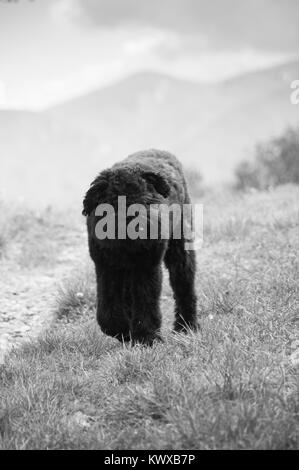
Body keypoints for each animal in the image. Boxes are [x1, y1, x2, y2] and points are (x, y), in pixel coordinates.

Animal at [82, 150, 199, 346]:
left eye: (147, 200)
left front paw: (146, 337)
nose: (138, 227)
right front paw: (121, 331)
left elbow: (146, 302)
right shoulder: (106, 267)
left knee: (184, 287)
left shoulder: (146, 267)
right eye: (116, 200)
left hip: (180, 251)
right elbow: (107, 310)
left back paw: (186, 326)